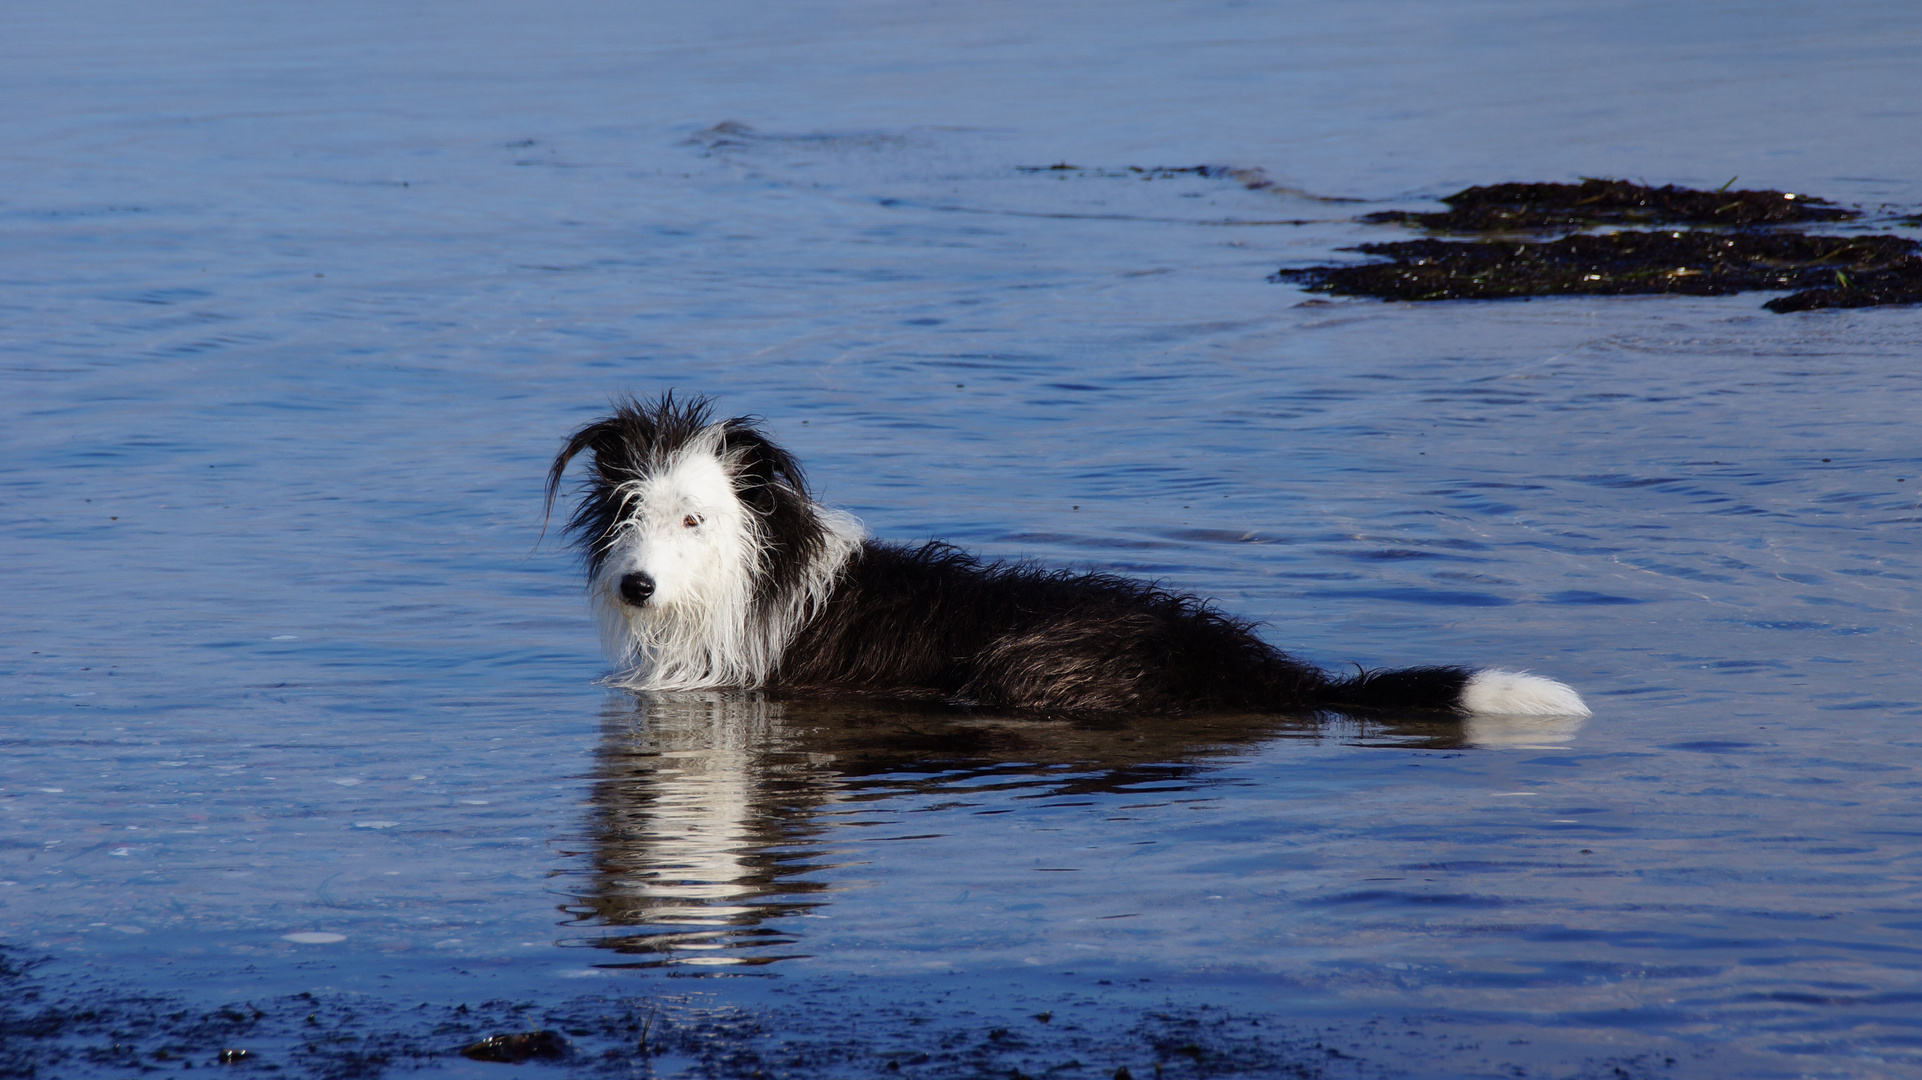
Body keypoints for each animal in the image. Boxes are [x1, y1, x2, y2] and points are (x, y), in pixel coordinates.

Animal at [545, 395, 1591, 714]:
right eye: (630, 509)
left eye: (695, 519)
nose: (636, 585)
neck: (748, 576)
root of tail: (1244, 662)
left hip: (1030, 666)